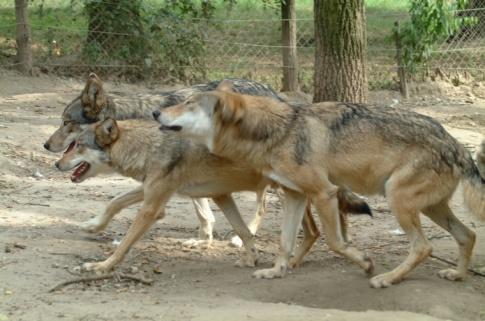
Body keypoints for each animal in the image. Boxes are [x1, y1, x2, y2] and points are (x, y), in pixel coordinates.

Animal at [54, 118, 368, 272]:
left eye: (77, 145)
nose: (56, 164)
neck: (149, 146)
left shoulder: (153, 207)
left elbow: (123, 246)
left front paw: (101, 266)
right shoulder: (219, 195)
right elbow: (114, 201)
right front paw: (93, 225)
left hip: (291, 192)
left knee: (315, 230)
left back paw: (293, 262)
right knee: (316, 230)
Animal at [157, 90, 482, 288]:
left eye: (189, 104)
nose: (155, 113)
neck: (280, 131)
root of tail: (457, 144)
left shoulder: (325, 193)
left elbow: (336, 242)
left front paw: (366, 263)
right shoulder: (295, 195)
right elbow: (285, 242)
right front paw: (276, 271)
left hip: (398, 200)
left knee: (424, 246)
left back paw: (387, 279)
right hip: (428, 207)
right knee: (468, 234)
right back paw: (457, 275)